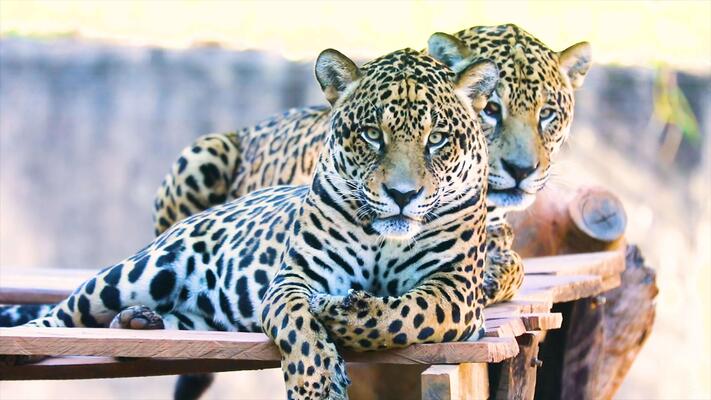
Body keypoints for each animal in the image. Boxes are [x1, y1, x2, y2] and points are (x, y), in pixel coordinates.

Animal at [6, 39, 499, 400]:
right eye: (372, 135)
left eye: (437, 139)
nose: (402, 195)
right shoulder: (293, 278)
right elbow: (299, 323)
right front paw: (317, 382)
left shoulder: (456, 289)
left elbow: (408, 314)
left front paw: (345, 314)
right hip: (140, 269)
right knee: (60, 314)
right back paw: (26, 343)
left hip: (196, 316)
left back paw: (137, 323)